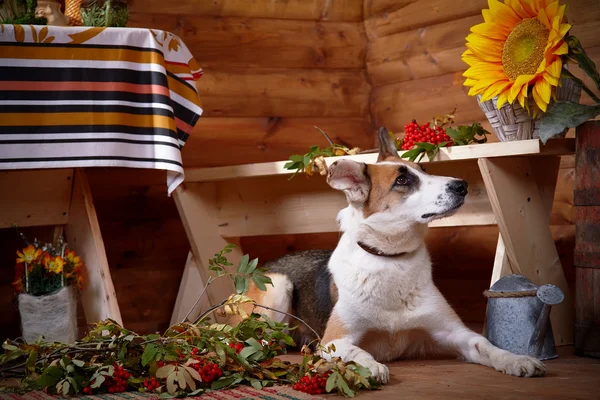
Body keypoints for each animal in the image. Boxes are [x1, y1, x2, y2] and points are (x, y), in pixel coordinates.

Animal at [243, 127, 544, 382]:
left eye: (423, 169)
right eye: (402, 180)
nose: (463, 185)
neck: (391, 259)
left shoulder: (455, 333)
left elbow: (486, 345)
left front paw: (516, 359)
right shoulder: (334, 341)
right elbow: (358, 351)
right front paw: (370, 365)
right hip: (279, 285)